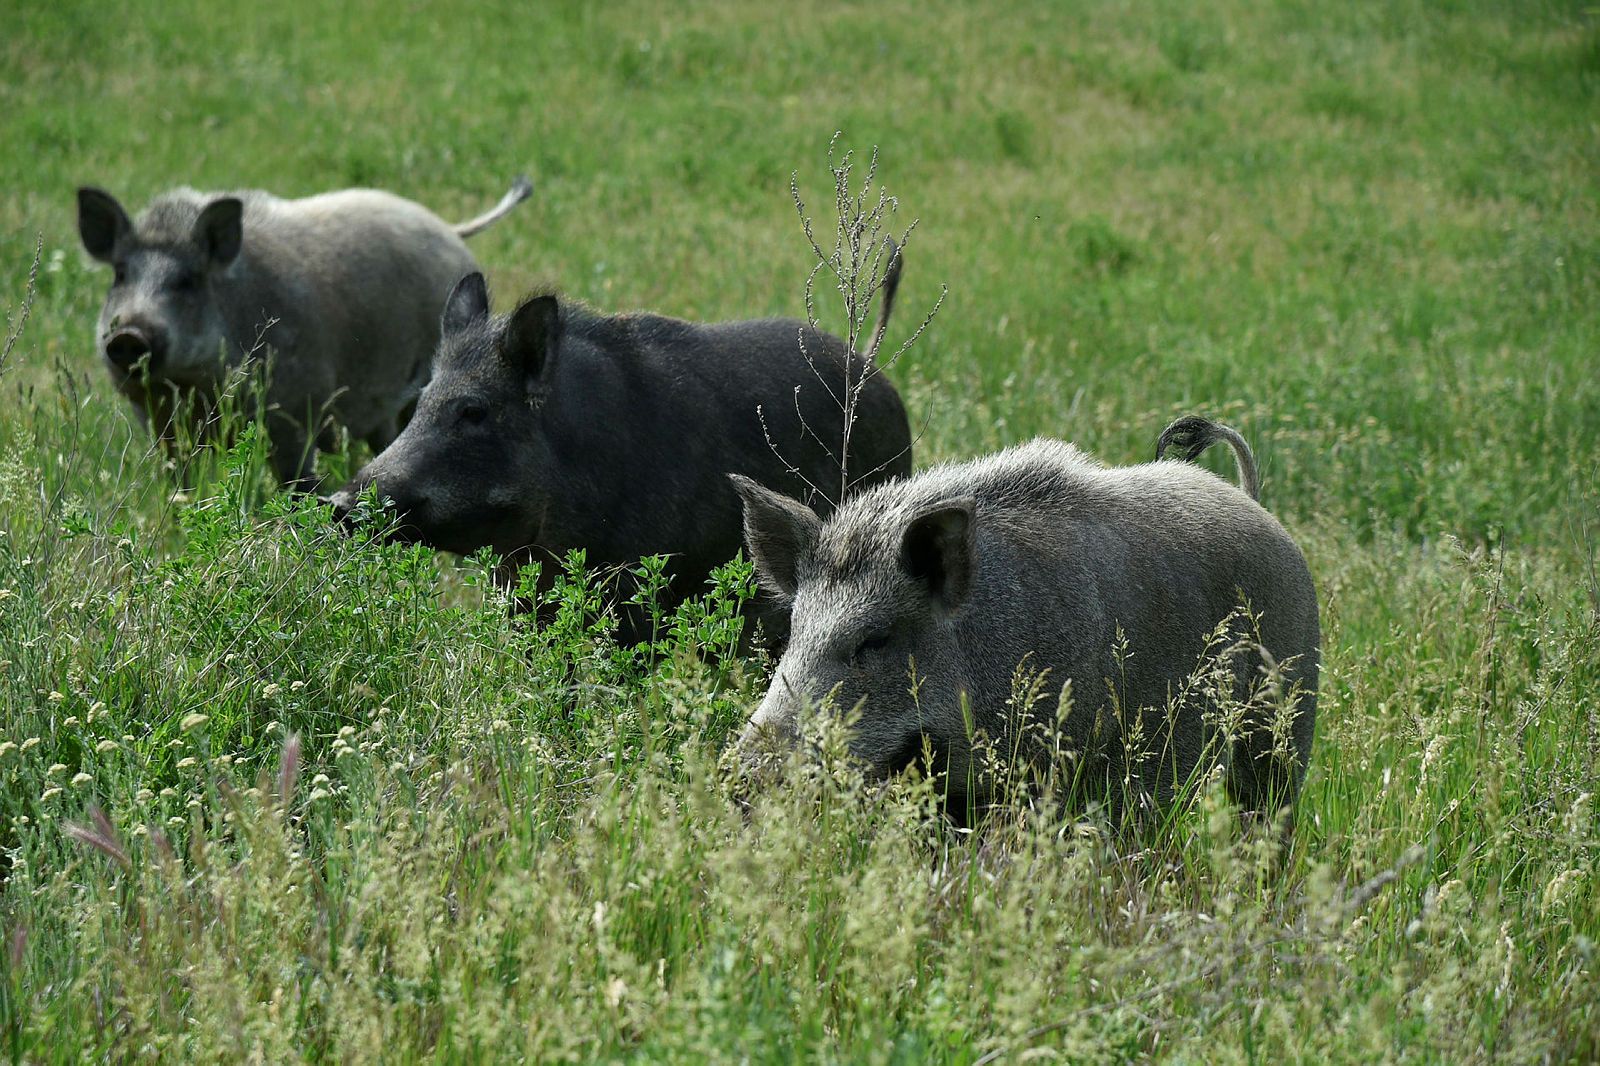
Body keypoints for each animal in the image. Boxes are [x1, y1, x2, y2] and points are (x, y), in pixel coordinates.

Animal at [81, 177, 534, 486]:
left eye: (187, 281)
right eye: (120, 274)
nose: (128, 334)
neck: (197, 386)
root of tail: (450, 230)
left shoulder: (296, 412)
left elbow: (298, 485)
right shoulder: (160, 425)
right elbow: (179, 484)